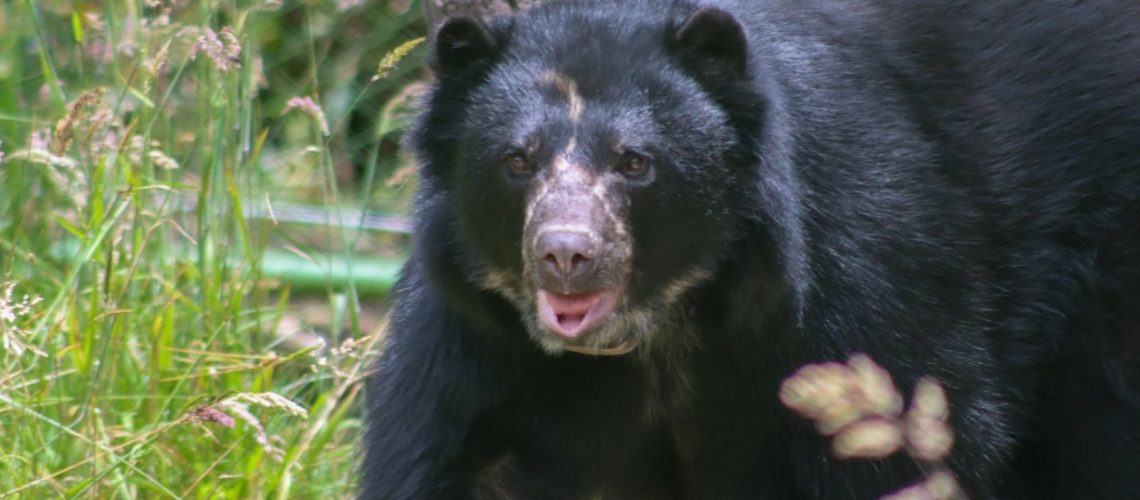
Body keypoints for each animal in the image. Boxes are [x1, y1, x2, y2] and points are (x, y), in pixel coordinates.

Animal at [361, 0, 1140, 498]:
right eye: (517, 161)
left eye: (635, 162)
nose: (566, 255)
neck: (659, 327)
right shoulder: (476, 342)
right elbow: (444, 459)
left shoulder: (869, 277)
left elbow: (895, 444)